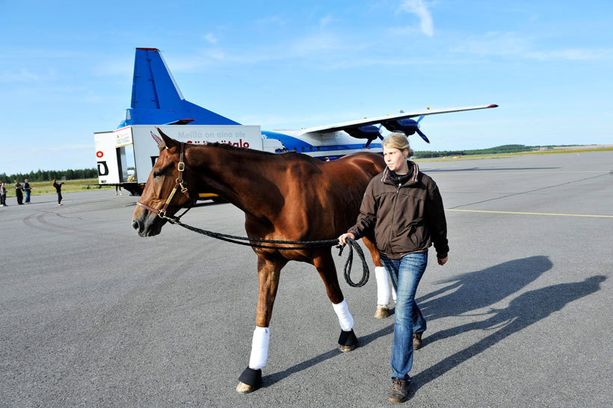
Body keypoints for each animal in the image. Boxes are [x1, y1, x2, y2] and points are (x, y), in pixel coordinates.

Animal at [131, 129, 394, 394]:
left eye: (158, 172)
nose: (139, 222)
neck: (278, 200)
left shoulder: (320, 255)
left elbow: (335, 295)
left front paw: (348, 336)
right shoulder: (268, 262)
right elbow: (262, 313)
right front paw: (252, 372)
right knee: (380, 261)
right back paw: (384, 305)